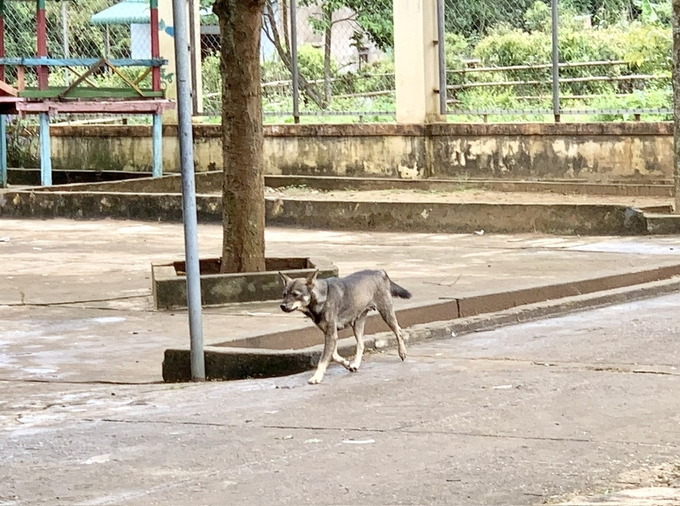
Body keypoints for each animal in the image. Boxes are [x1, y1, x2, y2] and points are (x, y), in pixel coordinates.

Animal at [278, 268, 412, 384]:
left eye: (295, 294)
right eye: (284, 294)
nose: (282, 306)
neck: (323, 296)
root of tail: (380, 272)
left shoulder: (331, 335)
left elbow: (323, 359)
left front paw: (317, 377)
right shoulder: (330, 334)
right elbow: (333, 355)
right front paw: (346, 363)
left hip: (386, 313)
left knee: (398, 331)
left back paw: (402, 352)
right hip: (358, 323)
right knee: (361, 344)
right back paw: (355, 364)